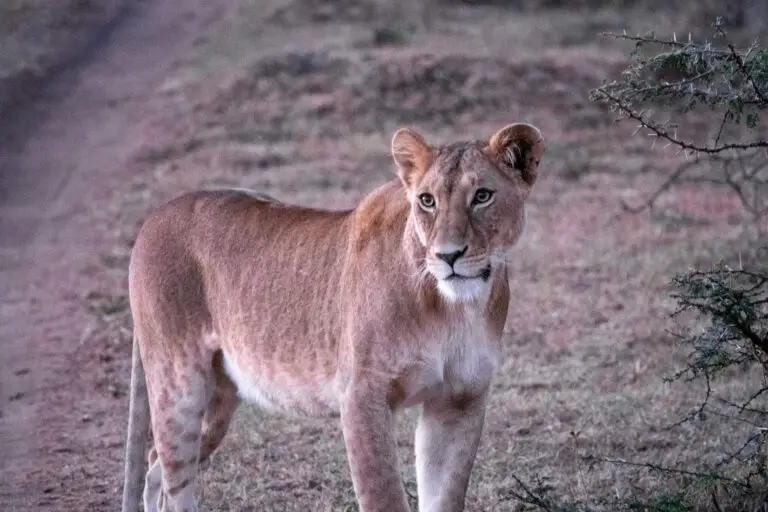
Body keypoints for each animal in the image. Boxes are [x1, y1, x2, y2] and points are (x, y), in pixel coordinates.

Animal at [121, 123, 544, 512]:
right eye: (427, 200)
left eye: (483, 196)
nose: (448, 255)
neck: (454, 309)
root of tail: (153, 217)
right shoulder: (361, 394)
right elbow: (384, 497)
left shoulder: (459, 399)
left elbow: (444, 496)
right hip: (178, 384)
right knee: (174, 477)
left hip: (217, 403)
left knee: (156, 461)